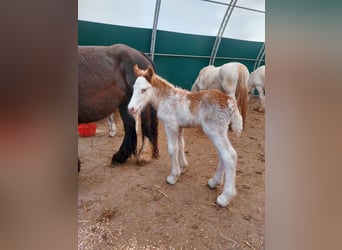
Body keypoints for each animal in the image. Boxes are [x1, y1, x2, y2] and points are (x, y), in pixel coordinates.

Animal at [128, 64, 243, 207]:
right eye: (133, 88)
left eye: (144, 90)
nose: (131, 109)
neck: (166, 99)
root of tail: (228, 100)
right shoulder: (179, 126)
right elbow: (181, 145)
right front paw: (183, 168)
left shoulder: (170, 125)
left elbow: (172, 149)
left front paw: (173, 176)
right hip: (220, 132)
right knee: (223, 154)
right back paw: (214, 182)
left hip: (214, 130)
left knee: (229, 155)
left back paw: (225, 197)